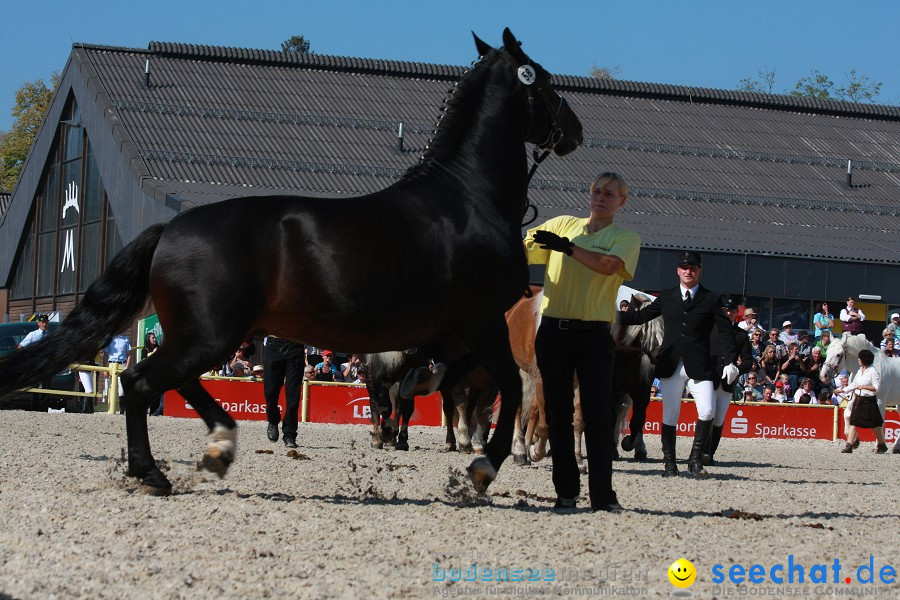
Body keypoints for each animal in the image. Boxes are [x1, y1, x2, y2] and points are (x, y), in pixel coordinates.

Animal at [0, 28, 584, 494]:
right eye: (544, 81)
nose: (575, 130)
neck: (466, 198)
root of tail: (171, 226)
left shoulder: (451, 336)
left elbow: (439, 384)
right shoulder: (480, 323)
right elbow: (505, 388)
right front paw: (484, 466)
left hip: (210, 333)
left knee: (171, 381)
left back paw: (219, 446)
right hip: (211, 336)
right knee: (141, 382)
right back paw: (155, 474)